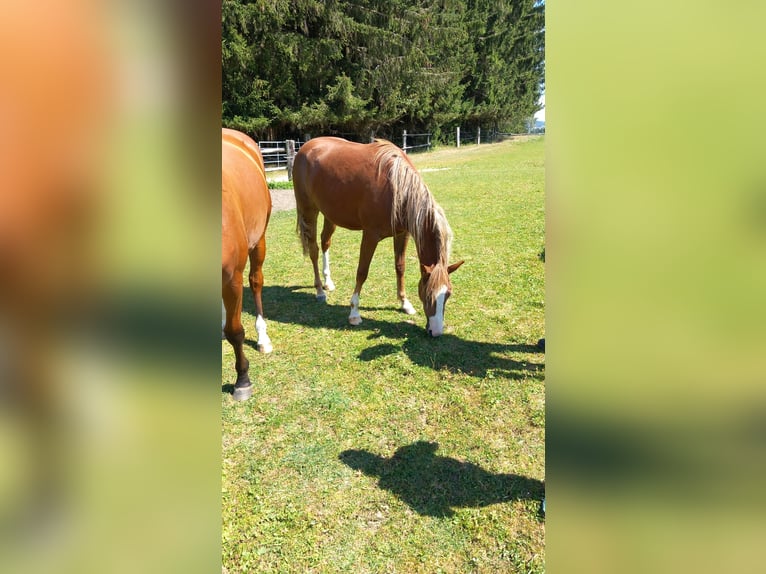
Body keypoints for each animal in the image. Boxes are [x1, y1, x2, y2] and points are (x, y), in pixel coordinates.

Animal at [292, 138, 462, 338]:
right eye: (428, 295)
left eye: (448, 294)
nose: (436, 332)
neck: (396, 188)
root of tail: (306, 147)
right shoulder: (370, 235)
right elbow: (362, 272)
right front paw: (354, 313)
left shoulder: (402, 234)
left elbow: (400, 267)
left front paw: (405, 303)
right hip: (309, 210)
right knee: (314, 250)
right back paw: (319, 290)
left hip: (330, 214)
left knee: (325, 242)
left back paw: (328, 282)